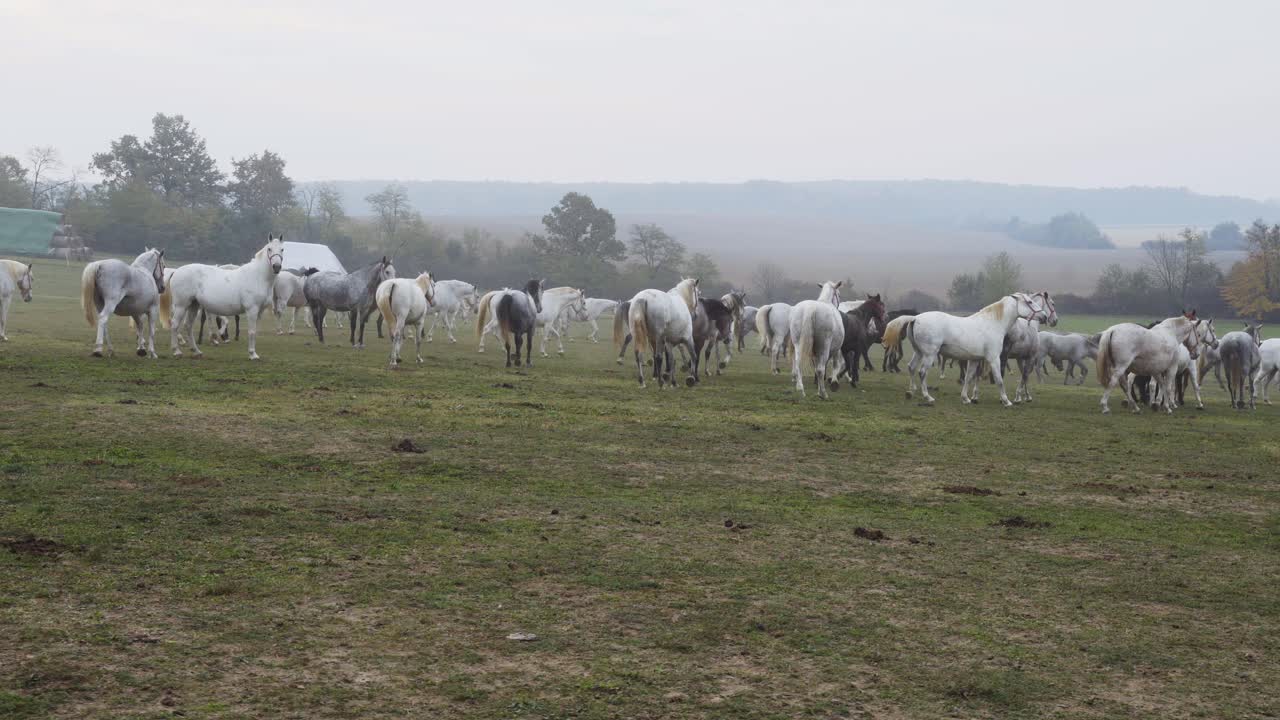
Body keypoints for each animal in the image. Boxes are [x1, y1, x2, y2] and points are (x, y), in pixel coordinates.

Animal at [899, 292, 1058, 406]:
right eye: (1029, 302)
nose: (1045, 316)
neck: (993, 323)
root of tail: (915, 319)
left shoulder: (974, 360)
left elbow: (969, 377)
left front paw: (966, 398)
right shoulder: (994, 359)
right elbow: (999, 379)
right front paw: (1006, 401)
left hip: (919, 352)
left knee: (911, 367)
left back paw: (910, 392)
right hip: (929, 354)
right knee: (922, 372)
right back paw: (928, 397)